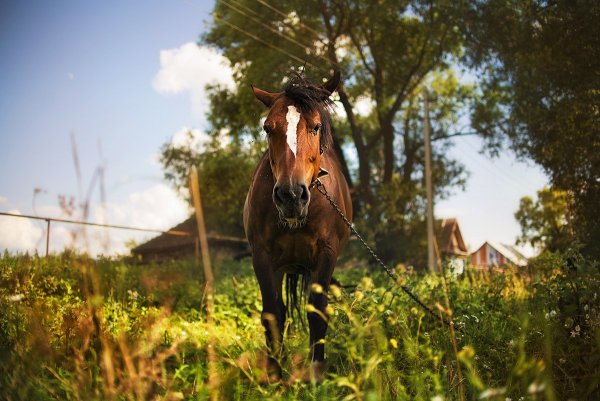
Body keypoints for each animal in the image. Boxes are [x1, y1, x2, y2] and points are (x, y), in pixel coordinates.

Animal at [244, 71, 354, 382]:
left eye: (315, 127)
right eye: (268, 129)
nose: (291, 194)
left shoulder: (326, 255)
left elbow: (317, 312)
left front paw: (316, 374)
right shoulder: (262, 256)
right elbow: (272, 314)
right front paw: (274, 375)